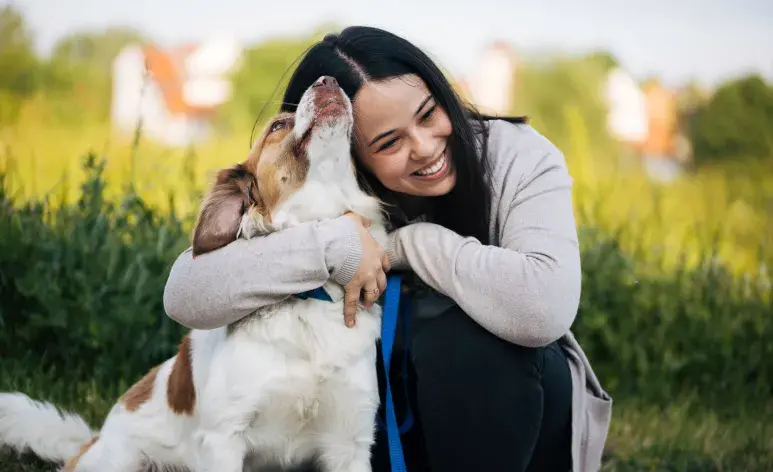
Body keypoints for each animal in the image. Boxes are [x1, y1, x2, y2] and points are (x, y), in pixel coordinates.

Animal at [0, 75, 386, 470]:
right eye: (278, 126)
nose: (328, 80)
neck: (308, 297)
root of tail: (93, 441)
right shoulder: (224, 438)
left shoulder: (349, 443)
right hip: (122, 458)